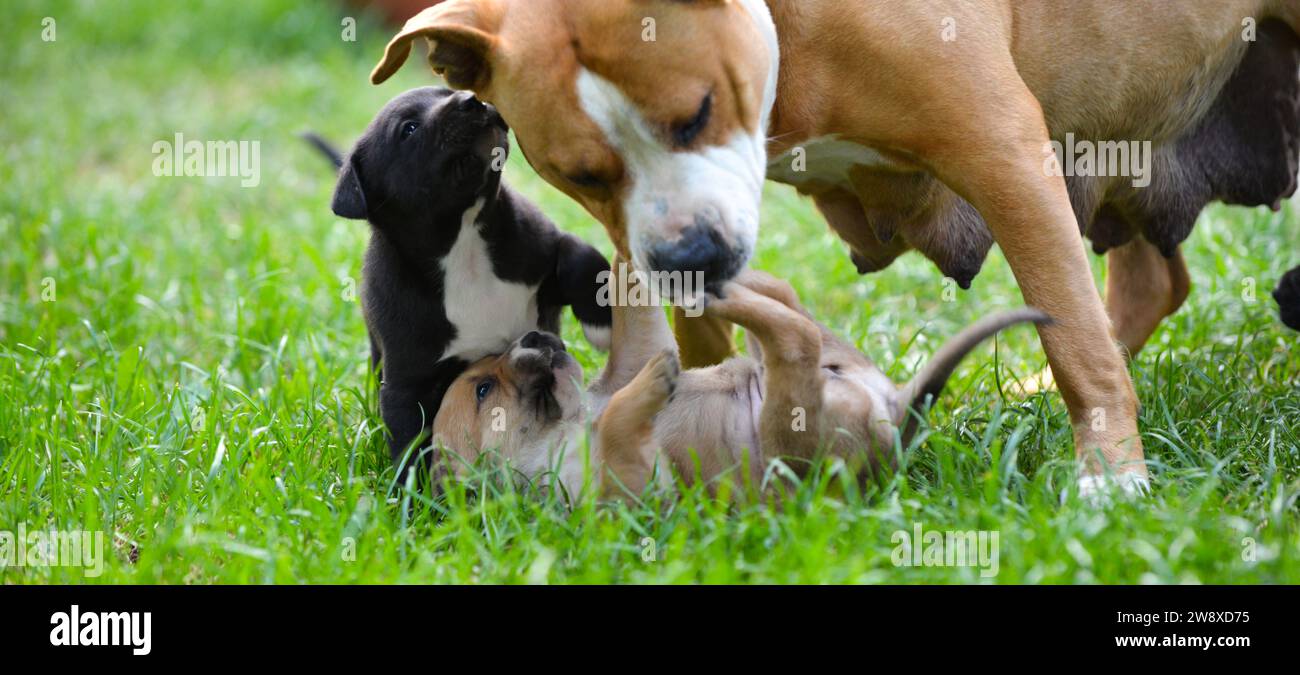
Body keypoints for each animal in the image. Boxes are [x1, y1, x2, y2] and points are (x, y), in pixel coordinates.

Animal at [317, 87, 616, 478]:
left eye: (444, 91)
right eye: (409, 128)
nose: (470, 99)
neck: (464, 241)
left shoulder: (542, 246)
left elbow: (582, 258)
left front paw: (602, 325)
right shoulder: (406, 384)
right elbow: (410, 444)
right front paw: (413, 493)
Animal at [428, 269, 1045, 502]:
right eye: (483, 390)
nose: (536, 336)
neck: (574, 420)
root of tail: (898, 411)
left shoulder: (634, 352)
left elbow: (634, 314)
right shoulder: (629, 495)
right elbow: (625, 422)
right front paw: (654, 386)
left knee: (784, 301)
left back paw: (709, 275)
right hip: (789, 435)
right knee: (794, 336)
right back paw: (712, 288)